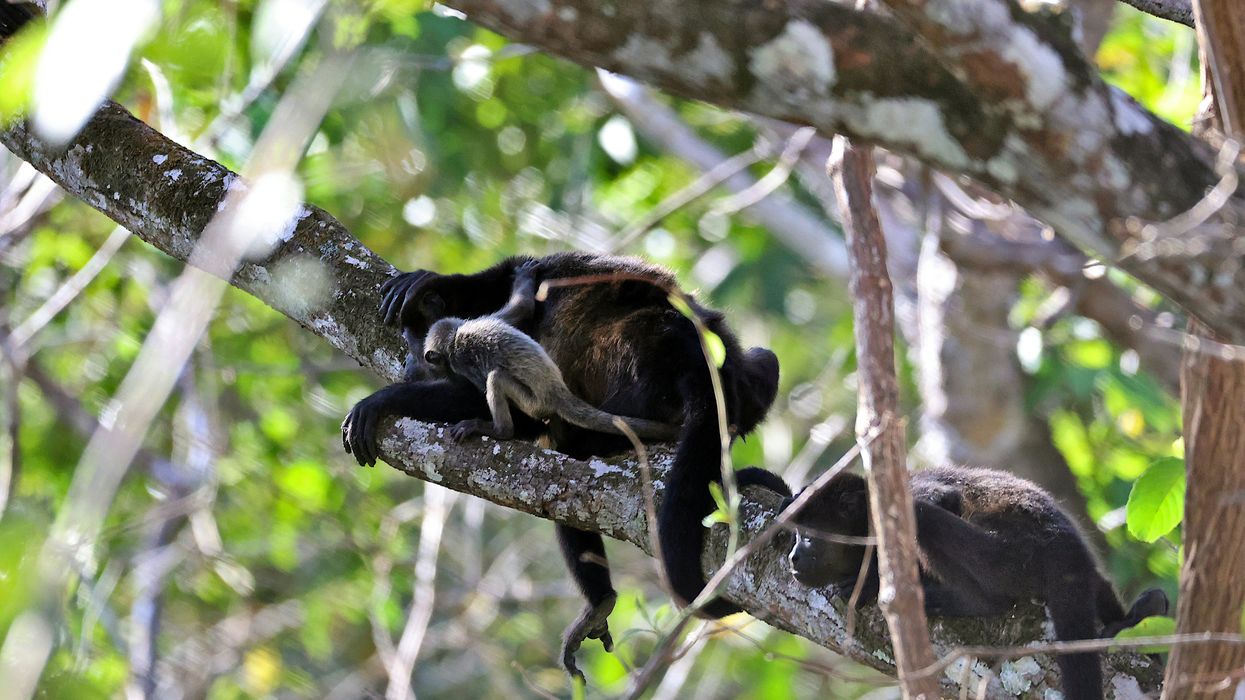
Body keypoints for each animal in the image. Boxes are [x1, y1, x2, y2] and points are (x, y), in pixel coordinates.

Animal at [420, 261, 680, 443]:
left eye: (436, 362)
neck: (456, 335)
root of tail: (558, 391)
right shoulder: (485, 319)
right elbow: (523, 308)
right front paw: (525, 278)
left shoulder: (461, 361)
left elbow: (479, 388)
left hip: (535, 403)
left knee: (496, 379)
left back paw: (501, 431)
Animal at [773, 465, 1169, 700]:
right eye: (796, 537)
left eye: (809, 537)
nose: (793, 557)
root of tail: (1066, 556)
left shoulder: (904, 496)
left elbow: (937, 501)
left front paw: (868, 580)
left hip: (1010, 557)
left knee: (926, 519)